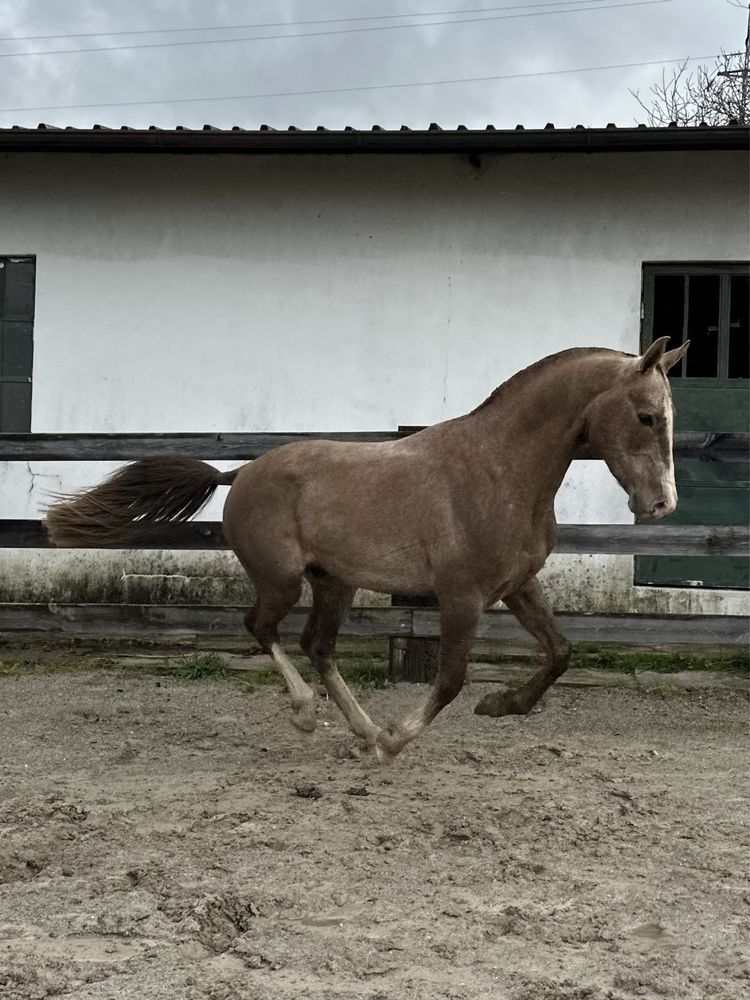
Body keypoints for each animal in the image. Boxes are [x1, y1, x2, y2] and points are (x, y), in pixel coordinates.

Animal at [44, 340, 692, 760]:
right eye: (645, 416)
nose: (663, 504)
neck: (500, 469)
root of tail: (240, 473)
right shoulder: (462, 597)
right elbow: (450, 679)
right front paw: (400, 740)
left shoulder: (517, 587)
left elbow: (560, 653)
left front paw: (500, 704)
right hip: (283, 579)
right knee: (262, 628)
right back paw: (314, 716)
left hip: (334, 580)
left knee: (317, 645)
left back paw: (362, 731)